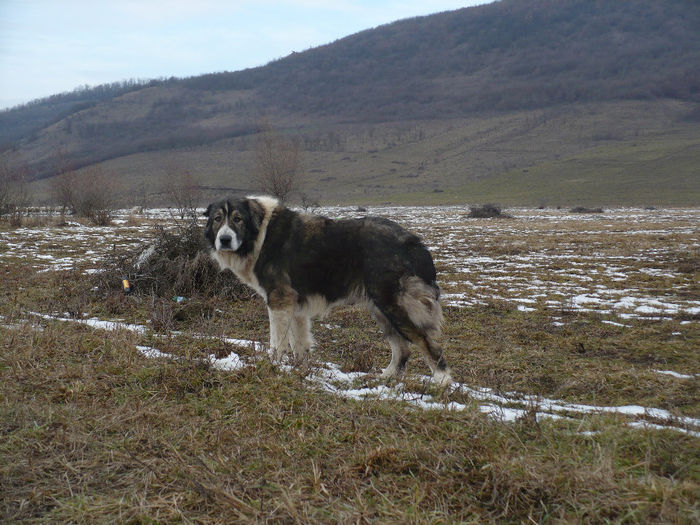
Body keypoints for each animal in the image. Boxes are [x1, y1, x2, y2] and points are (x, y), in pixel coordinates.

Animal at [205, 194, 452, 382]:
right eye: (217, 219)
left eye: (237, 219)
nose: (224, 240)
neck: (260, 235)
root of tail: (413, 241)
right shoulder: (295, 306)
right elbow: (300, 344)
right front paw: (302, 371)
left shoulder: (279, 300)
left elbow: (277, 343)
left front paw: (272, 368)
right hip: (380, 308)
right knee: (402, 348)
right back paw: (385, 378)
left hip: (393, 304)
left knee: (426, 342)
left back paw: (442, 381)